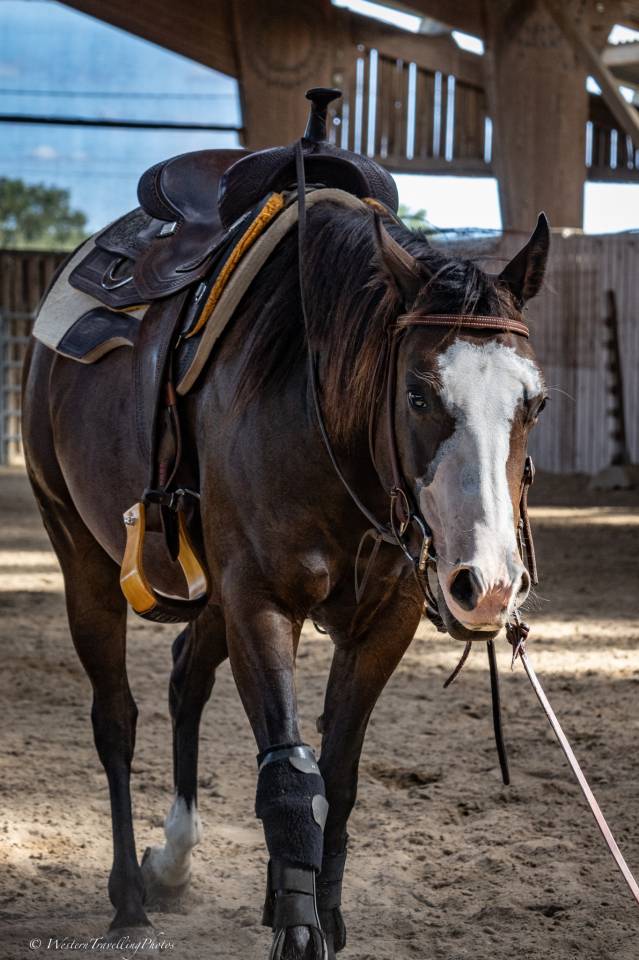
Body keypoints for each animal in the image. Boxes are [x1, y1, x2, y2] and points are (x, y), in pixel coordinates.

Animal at [22, 190, 549, 959]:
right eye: (418, 395)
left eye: (533, 403)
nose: (489, 585)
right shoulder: (261, 603)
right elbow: (293, 781)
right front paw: (299, 931)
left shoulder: (381, 625)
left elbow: (338, 775)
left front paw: (314, 907)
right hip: (80, 553)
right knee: (115, 718)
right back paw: (129, 902)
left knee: (187, 674)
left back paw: (173, 862)